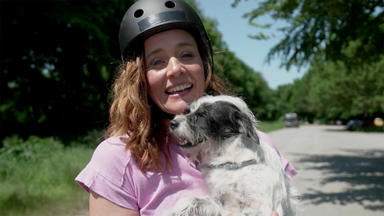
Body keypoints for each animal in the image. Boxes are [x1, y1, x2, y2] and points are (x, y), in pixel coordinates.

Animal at [167, 95, 296, 215]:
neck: (230, 163)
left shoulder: (262, 208)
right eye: (188, 111)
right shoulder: (219, 197)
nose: (172, 123)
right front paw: (176, 209)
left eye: (203, 114)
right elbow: (196, 200)